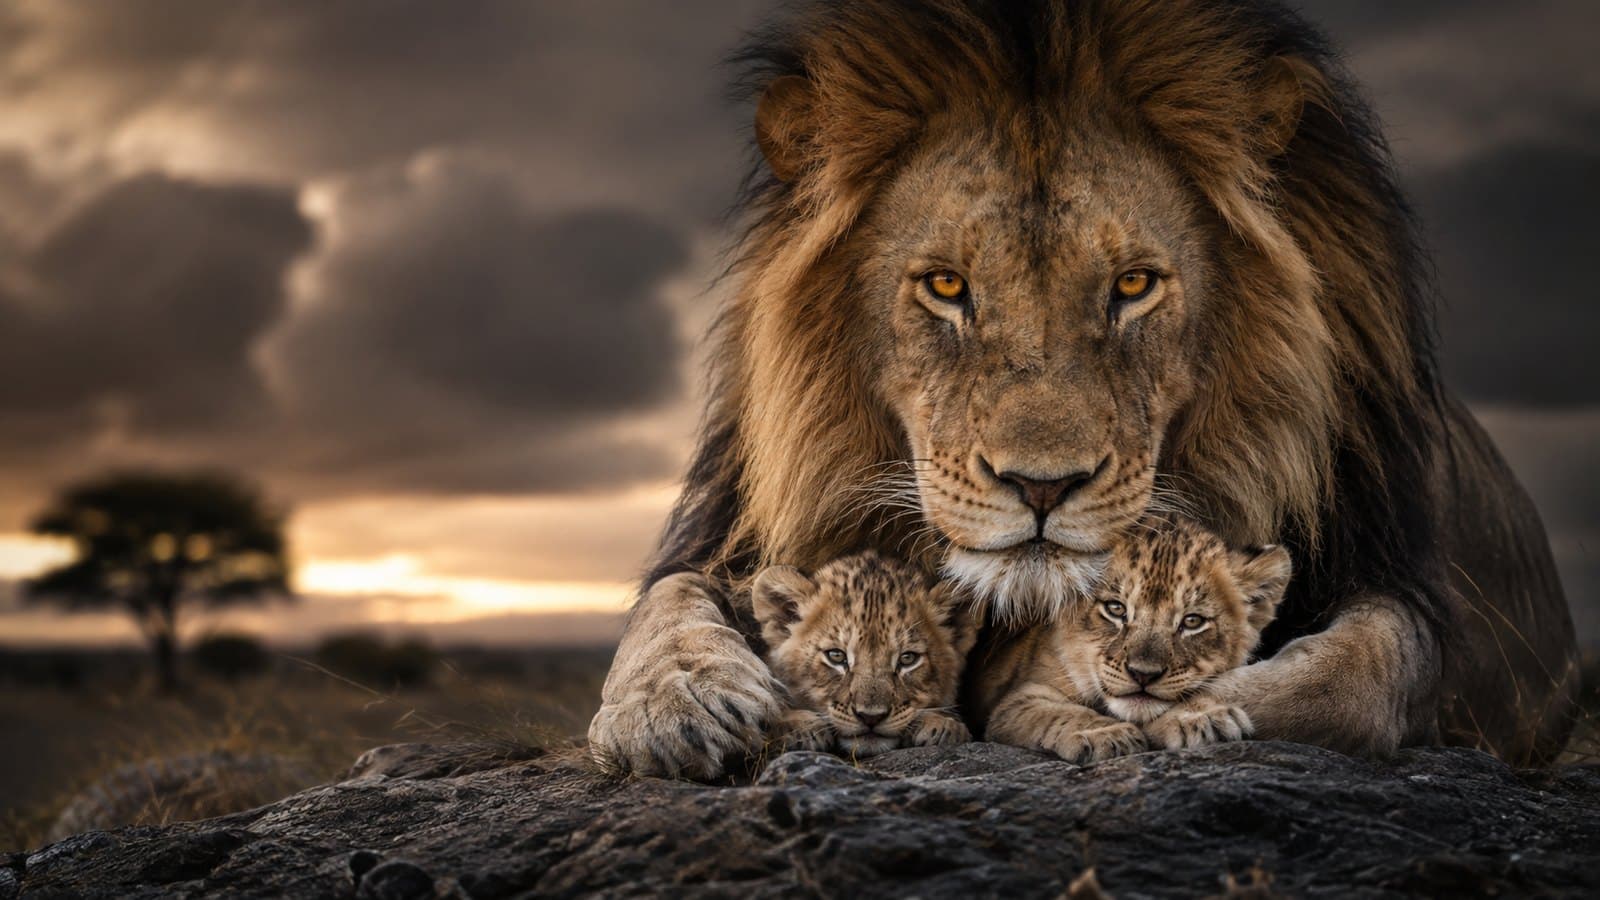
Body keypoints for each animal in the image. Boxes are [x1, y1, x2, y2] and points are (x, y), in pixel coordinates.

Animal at [986, 514, 1289, 762]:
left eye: (1192, 621)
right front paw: (1106, 734)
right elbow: (1060, 712)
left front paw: (1201, 717)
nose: (1143, 674)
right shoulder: (1016, 700)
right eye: (1115, 609)